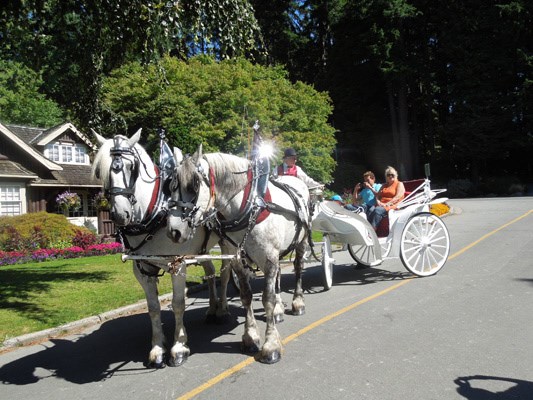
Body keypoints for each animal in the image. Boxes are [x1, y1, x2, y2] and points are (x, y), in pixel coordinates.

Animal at [91, 130, 231, 368]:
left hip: (227, 243)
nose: (120, 214)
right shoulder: (142, 268)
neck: (154, 213)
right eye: (101, 170)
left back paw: (222, 310)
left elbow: (178, 304)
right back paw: (212, 309)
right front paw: (157, 349)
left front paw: (178, 348)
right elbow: (153, 307)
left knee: (226, 274)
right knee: (211, 272)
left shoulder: (178, 264)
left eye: (132, 167)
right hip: (202, 248)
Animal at [164, 145, 310, 364]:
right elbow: (246, 296)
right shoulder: (237, 260)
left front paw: (271, 345)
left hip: (300, 242)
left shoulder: (269, 258)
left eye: (194, 186)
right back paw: (278, 310)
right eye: (171, 186)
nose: (174, 231)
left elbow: (266, 298)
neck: (249, 207)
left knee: (299, 268)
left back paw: (297, 302)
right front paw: (250, 336)